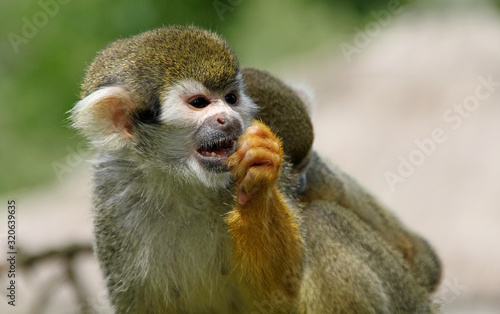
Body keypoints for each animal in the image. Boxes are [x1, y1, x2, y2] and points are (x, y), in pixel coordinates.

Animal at [71, 25, 442, 312]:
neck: (183, 184)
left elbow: (278, 293)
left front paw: (259, 184)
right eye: (199, 103)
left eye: (231, 99)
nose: (230, 119)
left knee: (324, 222)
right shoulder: (113, 200)